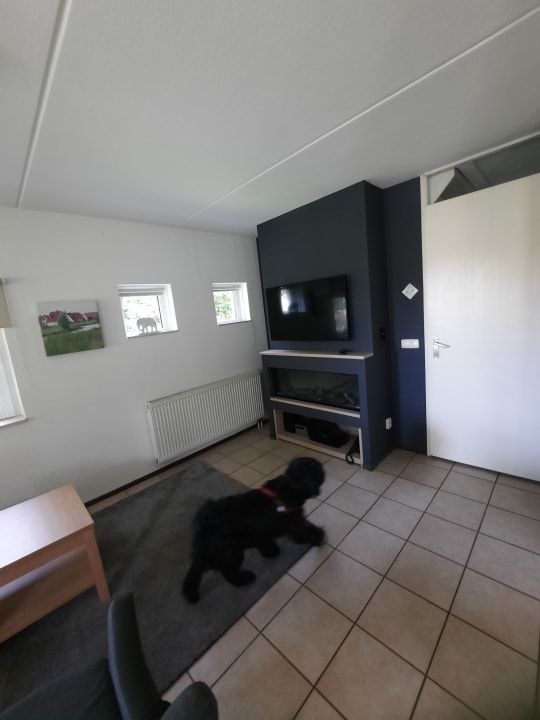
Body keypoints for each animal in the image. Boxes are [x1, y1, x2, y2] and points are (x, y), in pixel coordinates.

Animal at [182, 456, 326, 603]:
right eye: (313, 472)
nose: (321, 469)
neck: (288, 488)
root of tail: (203, 523)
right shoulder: (295, 524)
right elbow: (306, 532)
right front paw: (319, 537)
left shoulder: (260, 534)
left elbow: (265, 542)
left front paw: (270, 551)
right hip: (232, 553)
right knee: (229, 573)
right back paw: (245, 578)